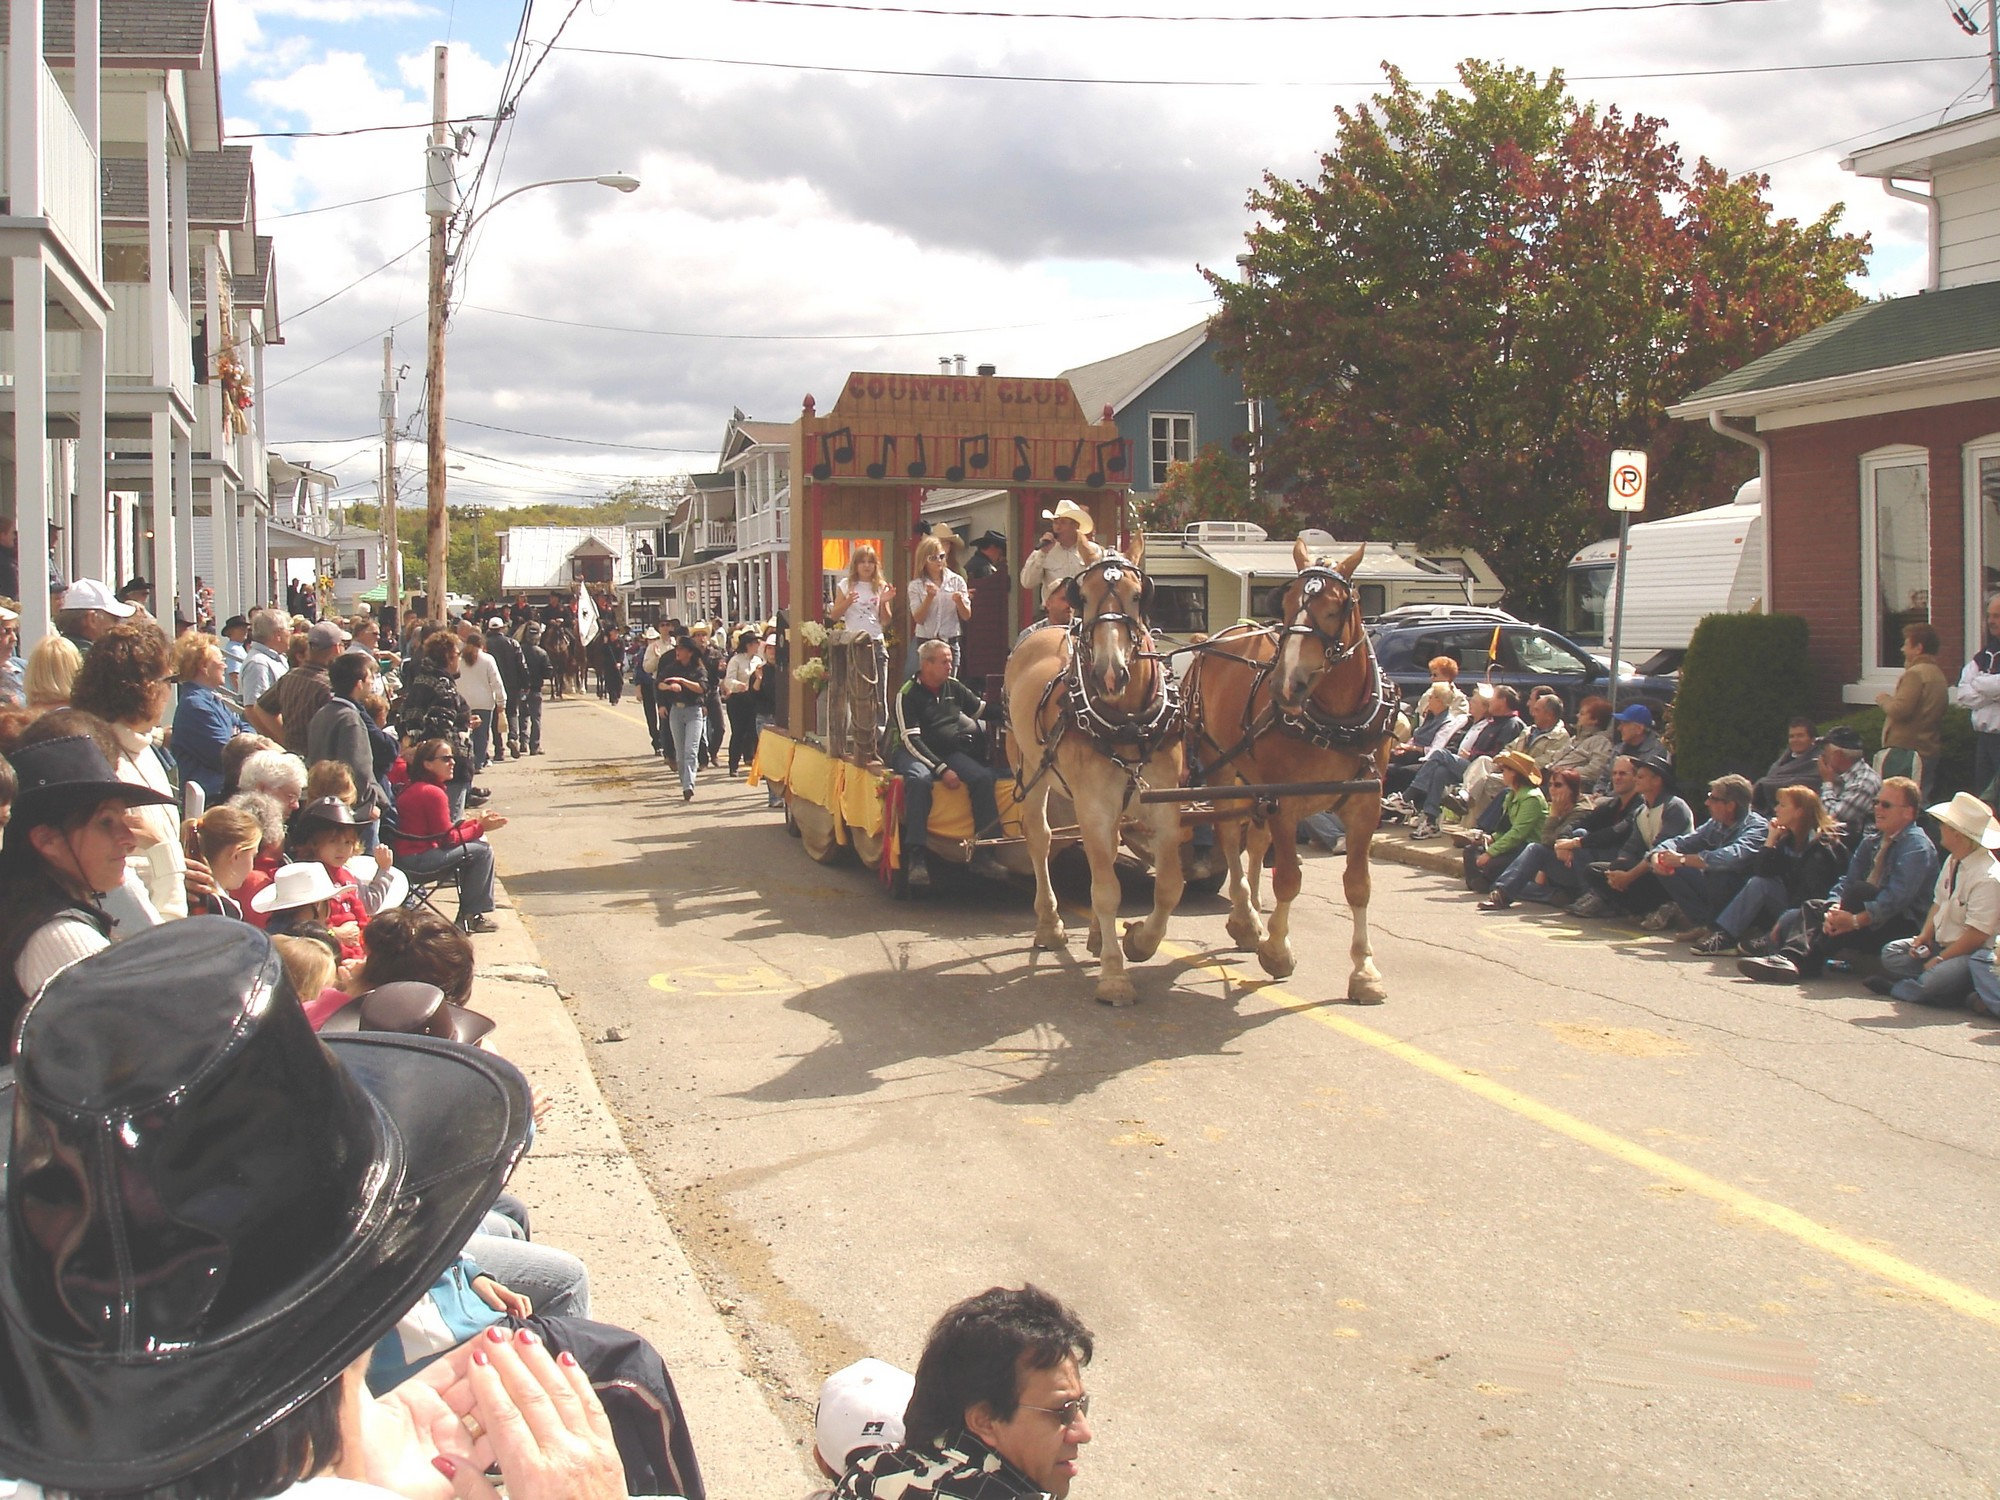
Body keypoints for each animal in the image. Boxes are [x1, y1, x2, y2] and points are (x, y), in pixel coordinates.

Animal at [1008, 540, 1176, 1012]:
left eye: (1139, 595)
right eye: (1082, 595)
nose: (1109, 672)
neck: (1129, 721)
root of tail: (1047, 629)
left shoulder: (1166, 805)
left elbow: (1168, 886)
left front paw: (1138, 942)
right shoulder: (1094, 807)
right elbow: (1105, 890)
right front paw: (1115, 978)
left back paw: (1101, 937)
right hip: (1030, 769)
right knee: (1040, 838)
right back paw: (1049, 924)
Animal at [1176, 536, 1400, 1004]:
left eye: (1335, 607)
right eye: (1286, 602)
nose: (1285, 686)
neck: (1334, 721)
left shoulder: (1366, 806)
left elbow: (1358, 885)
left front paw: (1364, 971)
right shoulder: (1286, 801)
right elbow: (1290, 880)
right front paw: (1278, 950)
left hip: (1251, 780)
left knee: (1254, 840)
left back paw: (1251, 915)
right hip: (1220, 764)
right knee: (1230, 837)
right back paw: (1245, 918)